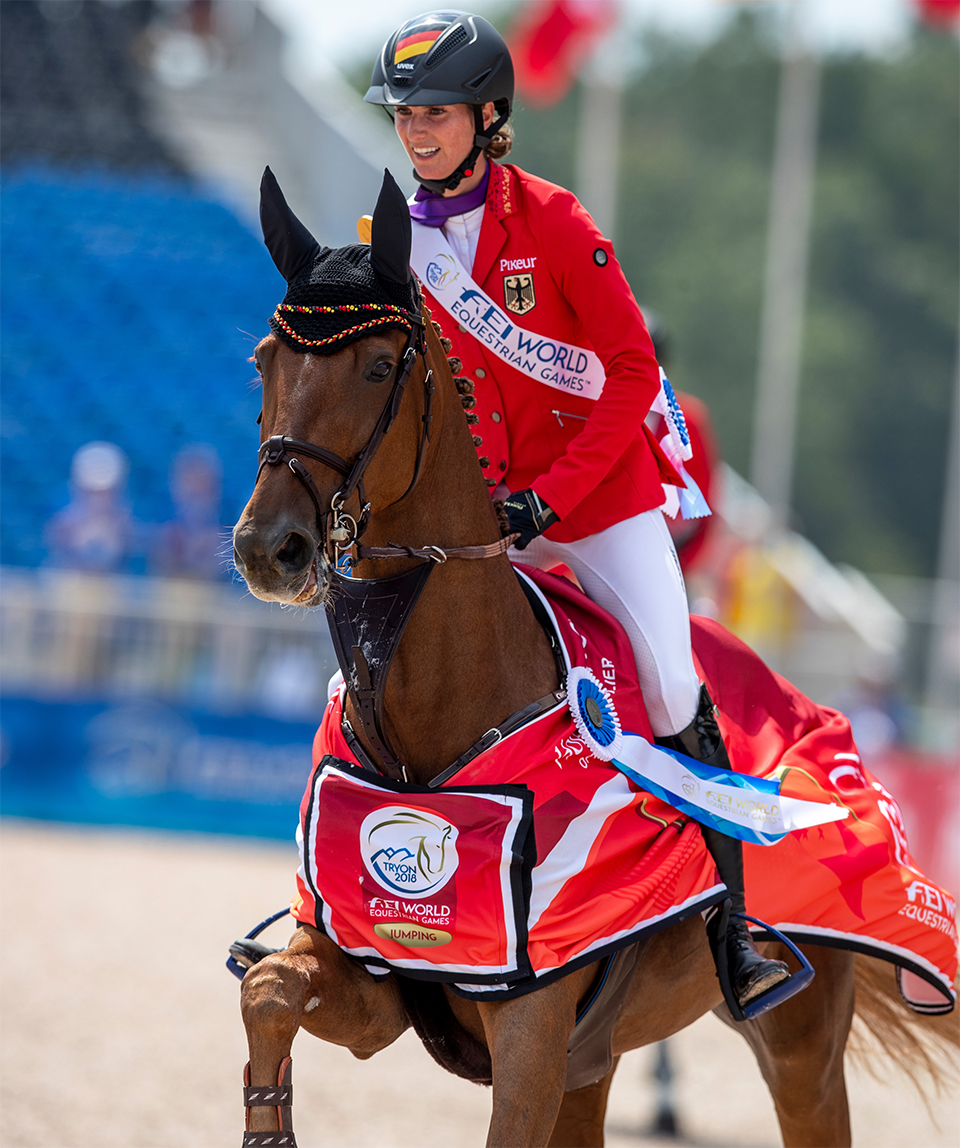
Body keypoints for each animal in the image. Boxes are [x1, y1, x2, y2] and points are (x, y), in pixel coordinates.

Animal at [230, 172, 950, 1148]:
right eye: (265, 360)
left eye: (379, 368)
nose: (271, 549)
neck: (428, 714)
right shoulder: (374, 976)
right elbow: (269, 990)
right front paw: (268, 1125)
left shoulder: (534, 1034)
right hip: (595, 1064)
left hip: (799, 1044)